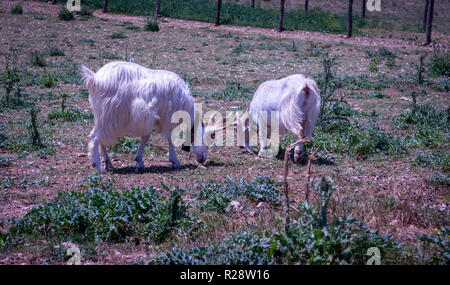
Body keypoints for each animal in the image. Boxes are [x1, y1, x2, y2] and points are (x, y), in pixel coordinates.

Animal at [81, 61, 209, 172]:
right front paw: (175, 161)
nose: (202, 160)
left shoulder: (152, 117)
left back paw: (107, 162)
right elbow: (169, 138)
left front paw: (139, 161)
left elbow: (145, 137)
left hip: (100, 114)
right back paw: (98, 166)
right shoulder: (167, 118)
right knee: (95, 136)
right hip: (109, 114)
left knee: (99, 137)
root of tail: (94, 78)